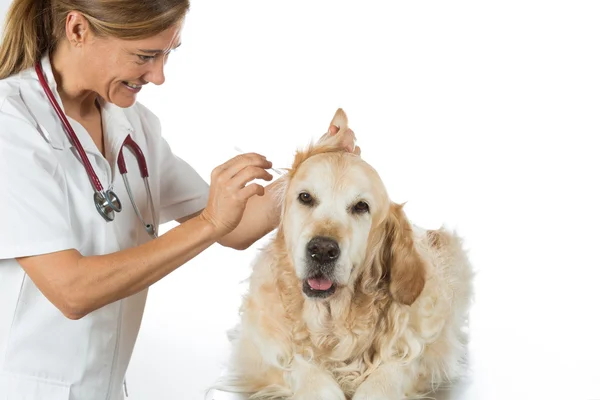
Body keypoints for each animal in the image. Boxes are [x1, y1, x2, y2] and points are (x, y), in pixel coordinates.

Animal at [214, 108, 474, 398]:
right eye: (305, 197)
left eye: (361, 206)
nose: (322, 250)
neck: (332, 323)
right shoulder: (261, 352)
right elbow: (301, 368)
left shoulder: (420, 352)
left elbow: (387, 377)